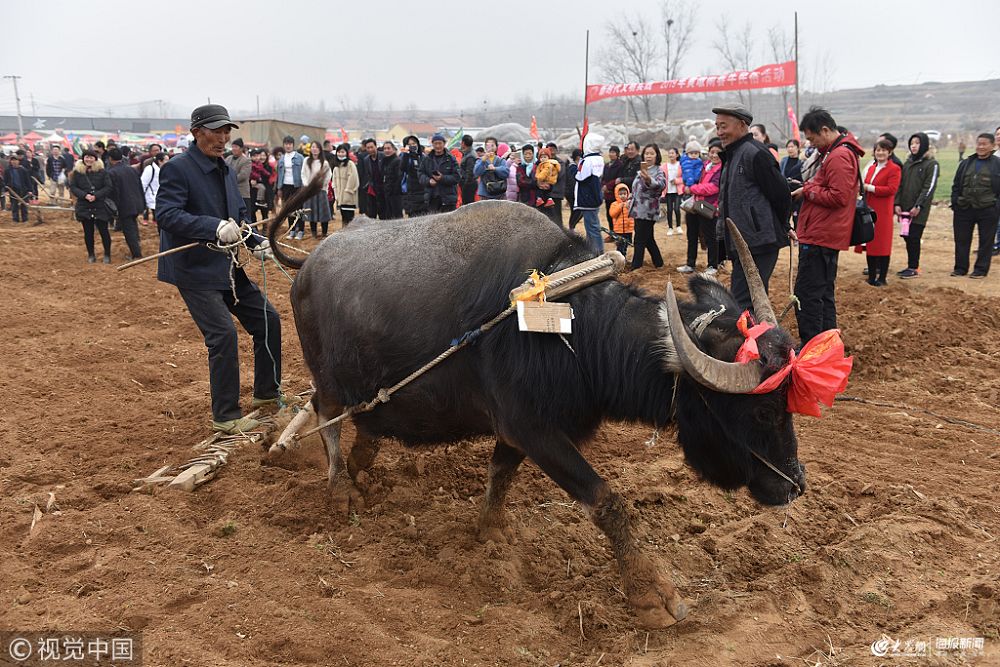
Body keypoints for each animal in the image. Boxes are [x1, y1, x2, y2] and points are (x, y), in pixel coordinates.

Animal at [268, 188, 805, 628]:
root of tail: (307, 265)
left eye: (787, 404)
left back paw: (362, 463)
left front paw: (490, 531)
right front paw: (652, 595)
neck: (574, 328)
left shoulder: (518, 430)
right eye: (762, 411)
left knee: (362, 422)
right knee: (324, 418)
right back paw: (340, 488)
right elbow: (607, 501)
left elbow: (501, 473)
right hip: (327, 379)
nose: (794, 486)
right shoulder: (535, 428)